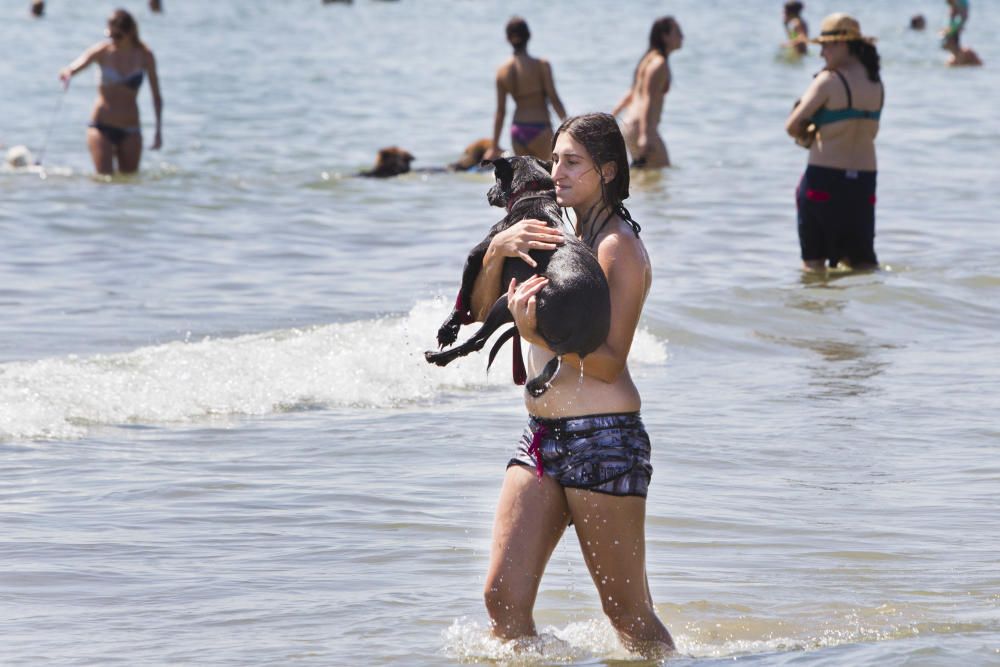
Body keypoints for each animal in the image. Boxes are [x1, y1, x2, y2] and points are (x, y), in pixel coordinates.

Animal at [424, 157, 608, 396]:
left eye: (495, 177)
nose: (488, 193)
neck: (534, 195)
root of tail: (576, 338)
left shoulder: (476, 255)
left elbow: (462, 294)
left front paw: (448, 329)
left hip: (509, 300)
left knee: (477, 341)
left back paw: (438, 357)